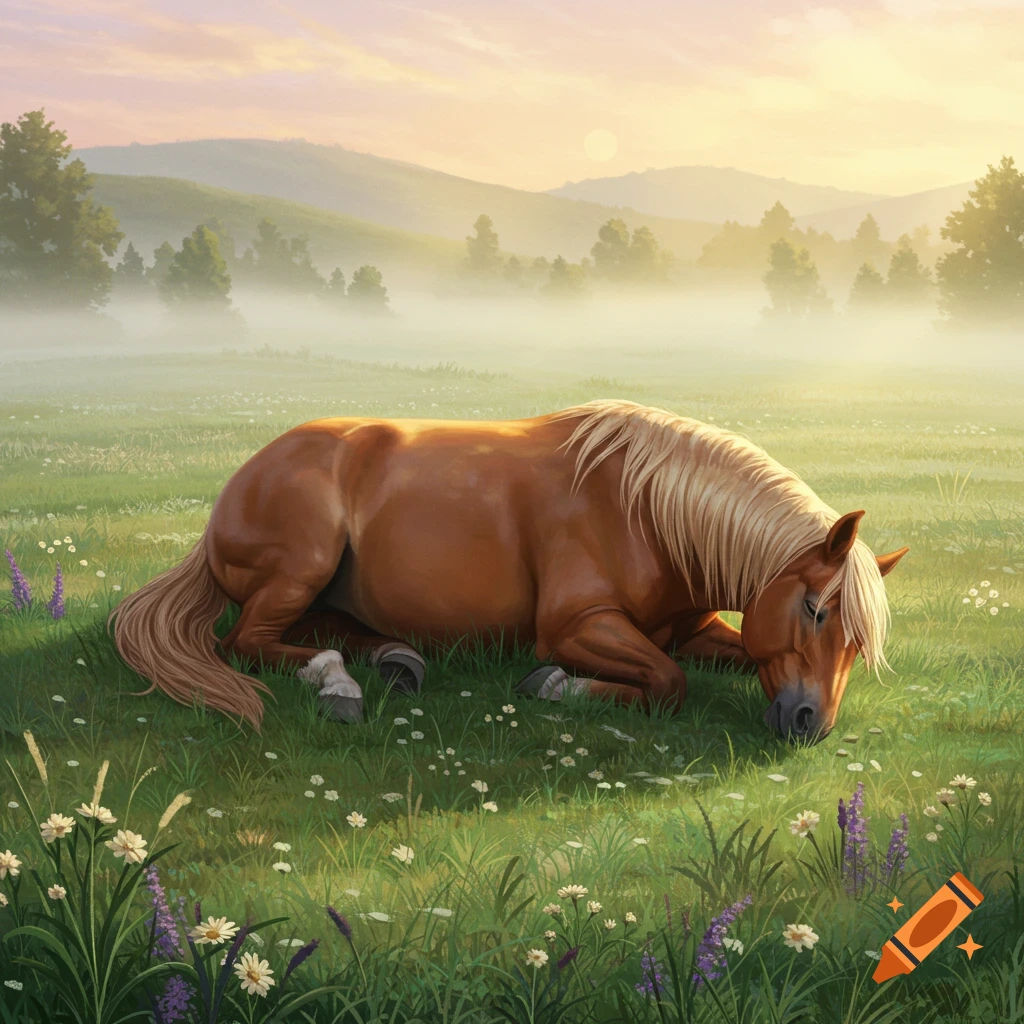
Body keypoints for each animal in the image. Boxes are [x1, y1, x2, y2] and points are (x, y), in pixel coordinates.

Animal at [110, 400, 908, 743]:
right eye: (815, 609)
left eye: (858, 642)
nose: (810, 723)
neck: (646, 508)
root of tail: (241, 479)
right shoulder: (577, 625)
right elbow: (667, 684)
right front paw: (556, 685)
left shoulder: (694, 628)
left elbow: (731, 655)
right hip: (300, 567)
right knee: (246, 642)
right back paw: (339, 684)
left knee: (322, 630)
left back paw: (396, 660)